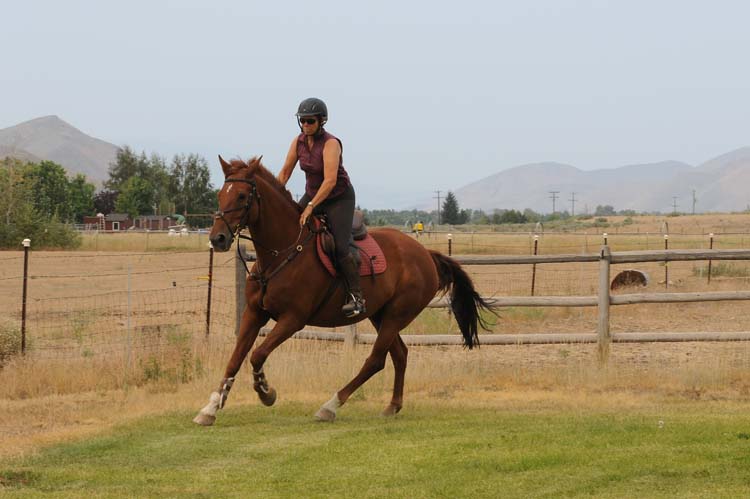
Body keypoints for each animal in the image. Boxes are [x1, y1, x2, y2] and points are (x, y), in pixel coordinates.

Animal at [195, 157, 494, 426]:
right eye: (220, 195)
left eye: (242, 195)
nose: (217, 238)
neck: (282, 251)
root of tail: (426, 254)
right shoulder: (255, 313)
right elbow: (236, 358)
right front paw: (211, 408)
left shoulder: (293, 319)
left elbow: (257, 355)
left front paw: (266, 392)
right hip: (380, 315)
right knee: (399, 354)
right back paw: (392, 406)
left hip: (396, 314)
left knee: (375, 360)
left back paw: (330, 406)